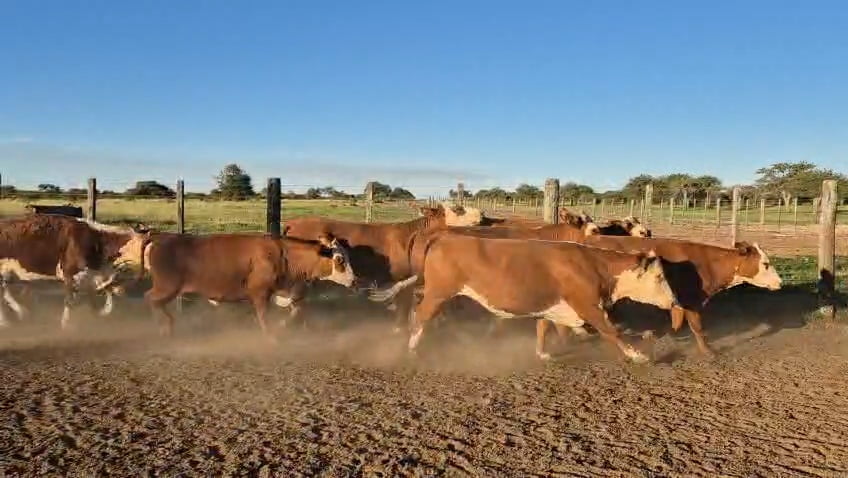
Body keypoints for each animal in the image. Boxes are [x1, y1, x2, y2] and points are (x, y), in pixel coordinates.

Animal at [0, 214, 149, 328]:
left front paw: (101, 312)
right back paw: (7, 321)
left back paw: (21, 313)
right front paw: (66, 325)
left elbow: (106, 295)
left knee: (5, 292)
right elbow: (70, 301)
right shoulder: (70, 274)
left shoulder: (93, 276)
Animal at [143, 233, 356, 339]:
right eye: (339, 259)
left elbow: (297, 312)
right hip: (167, 287)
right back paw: (165, 326)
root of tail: (159, 240)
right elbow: (263, 316)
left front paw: (284, 326)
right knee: (151, 299)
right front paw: (271, 335)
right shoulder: (260, 293)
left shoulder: (290, 292)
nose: (354, 280)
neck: (283, 255)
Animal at [281, 203, 482, 332]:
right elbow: (403, 307)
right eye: (458, 208)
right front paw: (398, 329)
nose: (481, 213)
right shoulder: (403, 280)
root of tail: (293, 222)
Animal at [371, 230, 678, 362]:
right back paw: (412, 348)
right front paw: (638, 355)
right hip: (439, 293)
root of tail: (442, 237)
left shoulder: (551, 307)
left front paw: (542, 352)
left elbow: (543, 327)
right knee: (422, 315)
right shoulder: (589, 305)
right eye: (659, 278)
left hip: (435, 292)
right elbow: (611, 331)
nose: (674, 302)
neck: (592, 264)